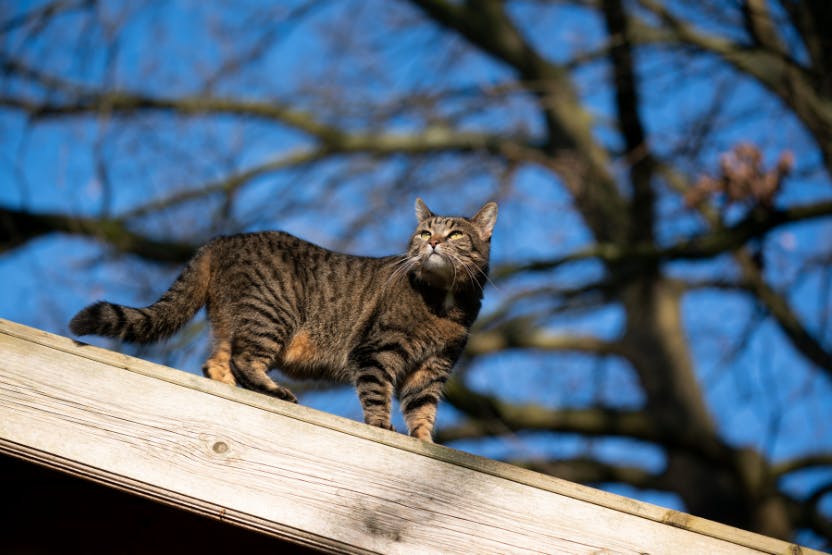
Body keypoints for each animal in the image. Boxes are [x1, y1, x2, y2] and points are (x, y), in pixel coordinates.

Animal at [70, 200, 494, 444]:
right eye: (423, 232)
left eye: (455, 233)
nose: (433, 243)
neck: (445, 304)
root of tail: (223, 239)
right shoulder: (377, 352)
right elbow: (378, 394)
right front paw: (381, 424)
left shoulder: (433, 368)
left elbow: (423, 412)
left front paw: (426, 443)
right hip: (271, 315)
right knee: (243, 359)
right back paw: (273, 391)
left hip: (233, 321)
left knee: (216, 361)